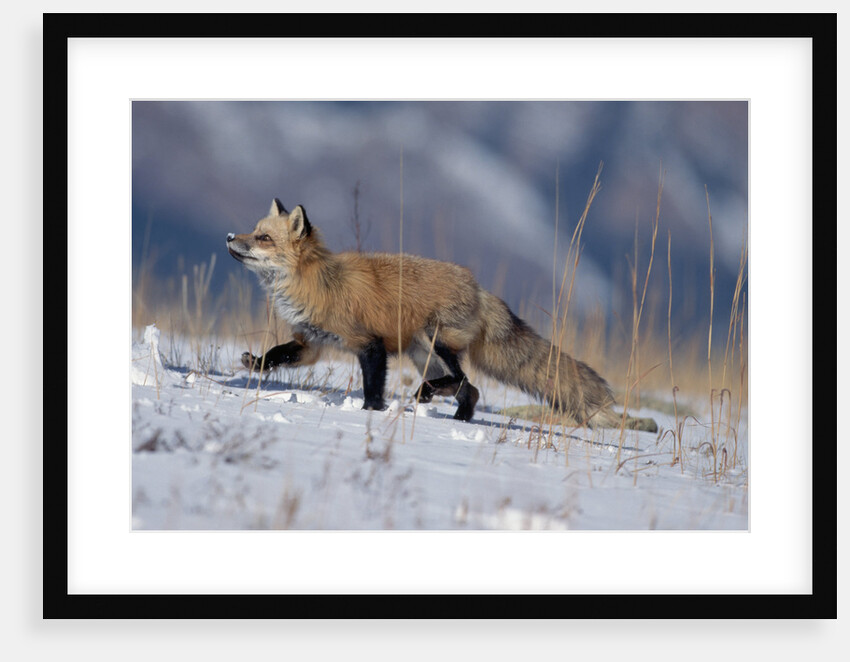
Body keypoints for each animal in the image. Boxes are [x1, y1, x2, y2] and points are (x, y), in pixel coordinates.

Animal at [226, 198, 657, 432]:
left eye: (263, 238)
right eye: (252, 230)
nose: (230, 237)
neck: (317, 281)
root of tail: (479, 288)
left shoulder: (370, 344)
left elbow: (373, 387)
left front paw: (370, 414)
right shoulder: (311, 343)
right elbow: (277, 354)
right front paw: (255, 363)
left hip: (434, 341)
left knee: (463, 379)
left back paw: (432, 395)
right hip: (423, 354)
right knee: (472, 389)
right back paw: (459, 418)